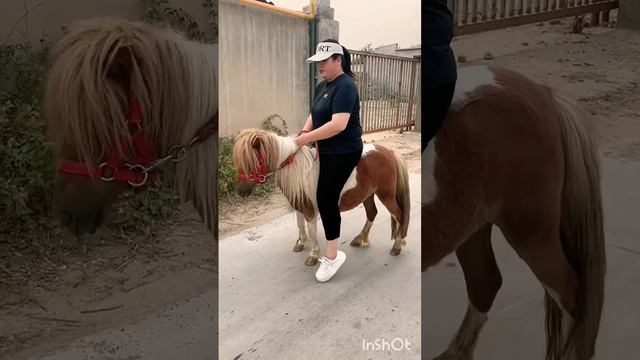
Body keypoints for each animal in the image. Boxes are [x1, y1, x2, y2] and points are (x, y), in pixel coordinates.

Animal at [232, 129, 412, 264]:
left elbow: (312, 232)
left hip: (385, 195)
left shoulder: (310, 211)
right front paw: (300, 243)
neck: (298, 170)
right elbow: (300, 225)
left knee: (398, 215)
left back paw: (397, 245)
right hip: (368, 194)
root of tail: (390, 152)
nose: (240, 191)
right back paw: (361, 239)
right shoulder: (299, 206)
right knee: (372, 213)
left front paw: (313, 255)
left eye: (251, 161)